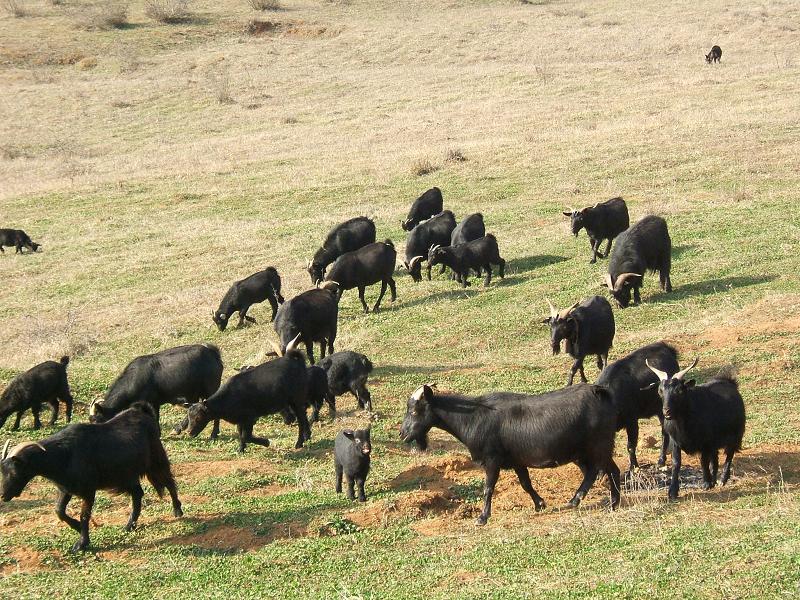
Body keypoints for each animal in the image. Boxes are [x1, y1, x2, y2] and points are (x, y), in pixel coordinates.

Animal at [0, 404, 182, 552]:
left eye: (15, 472)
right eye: (2, 471)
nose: (3, 495)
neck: (62, 454)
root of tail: (143, 412)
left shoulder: (88, 491)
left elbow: (84, 515)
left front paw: (81, 543)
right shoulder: (66, 488)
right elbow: (59, 511)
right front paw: (76, 527)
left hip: (156, 462)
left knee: (169, 482)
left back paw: (177, 510)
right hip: (126, 476)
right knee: (138, 493)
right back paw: (129, 525)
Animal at [90, 344, 222, 438]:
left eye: (97, 420)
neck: (134, 379)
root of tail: (213, 353)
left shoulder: (152, 402)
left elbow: (155, 417)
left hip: (210, 390)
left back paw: (213, 434)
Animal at [400, 386, 620, 524]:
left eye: (415, 411)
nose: (402, 434)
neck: (473, 418)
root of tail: (599, 392)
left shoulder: (492, 460)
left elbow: (488, 488)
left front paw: (482, 517)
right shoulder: (516, 461)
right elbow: (525, 484)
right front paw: (540, 504)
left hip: (598, 445)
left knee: (603, 470)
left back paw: (593, 501)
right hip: (590, 449)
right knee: (601, 471)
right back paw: (598, 501)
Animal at [596, 340, 680, 472]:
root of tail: (665, 347)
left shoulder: (632, 422)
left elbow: (630, 446)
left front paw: (633, 467)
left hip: (663, 411)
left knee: (665, 433)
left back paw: (661, 460)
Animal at [648, 358, 748, 500]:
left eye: (679, 390)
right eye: (660, 390)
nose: (666, 411)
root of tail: (729, 382)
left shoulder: (705, 442)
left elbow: (703, 460)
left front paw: (706, 483)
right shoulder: (676, 442)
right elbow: (676, 463)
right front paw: (673, 491)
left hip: (735, 435)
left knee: (729, 455)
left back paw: (722, 479)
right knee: (715, 458)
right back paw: (714, 479)